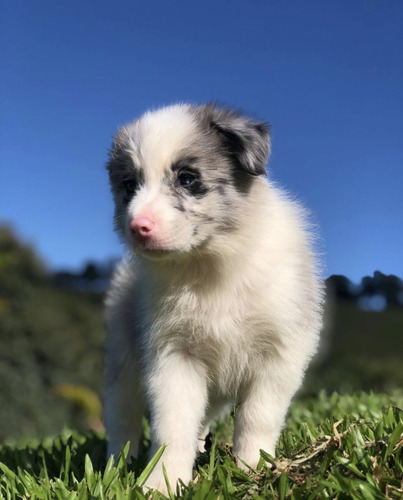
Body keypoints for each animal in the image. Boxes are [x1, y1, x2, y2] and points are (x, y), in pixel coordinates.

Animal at [104, 103, 326, 494]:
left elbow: (257, 417)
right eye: (130, 185)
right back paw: (117, 466)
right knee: (121, 416)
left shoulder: (281, 352)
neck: (209, 265)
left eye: (188, 179)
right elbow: (172, 424)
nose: (138, 228)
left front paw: (253, 470)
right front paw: (163, 483)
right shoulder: (173, 355)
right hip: (124, 356)